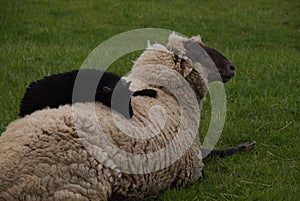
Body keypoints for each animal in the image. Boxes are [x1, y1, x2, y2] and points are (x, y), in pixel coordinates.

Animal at [0, 33, 245, 200]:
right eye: (198, 51)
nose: (232, 67)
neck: (165, 93)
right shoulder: (191, 171)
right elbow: (211, 155)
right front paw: (243, 146)